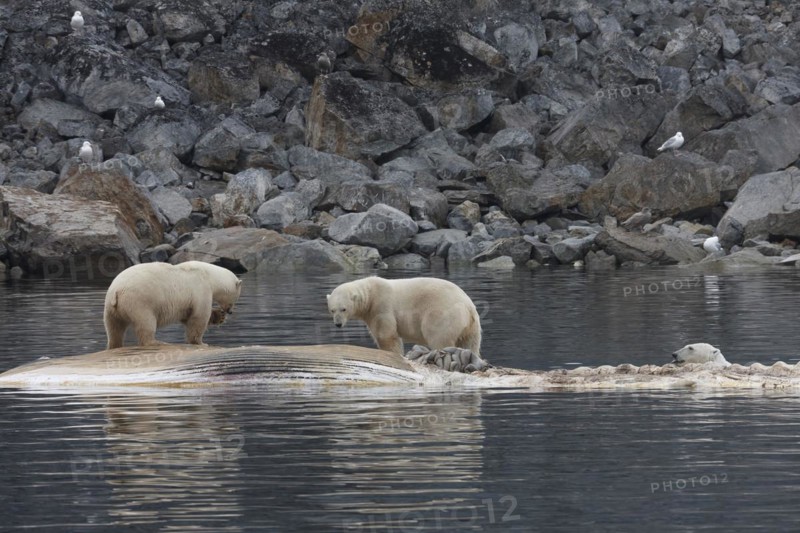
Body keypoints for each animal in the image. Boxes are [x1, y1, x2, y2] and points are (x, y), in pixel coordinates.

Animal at [103, 261, 242, 349]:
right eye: (236, 296)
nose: (230, 311)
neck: (210, 275)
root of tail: (117, 291)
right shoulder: (201, 289)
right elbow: (198, 317)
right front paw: (200, 343)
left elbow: (187, 316)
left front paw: (220, 316)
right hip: (139, 301)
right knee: (146, 323)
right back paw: (158, 342)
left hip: (111, 308)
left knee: (114, 327)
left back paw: (114, 345)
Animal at [326, 276, 482, 357]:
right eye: (332, 310)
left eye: (343, 309)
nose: (338, 324)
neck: (371, 293)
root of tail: (468, 306)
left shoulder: (381, 306)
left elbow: (386, 335)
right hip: (472, 326)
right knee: (470, 343)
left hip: (443, 313)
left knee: (439, 337)